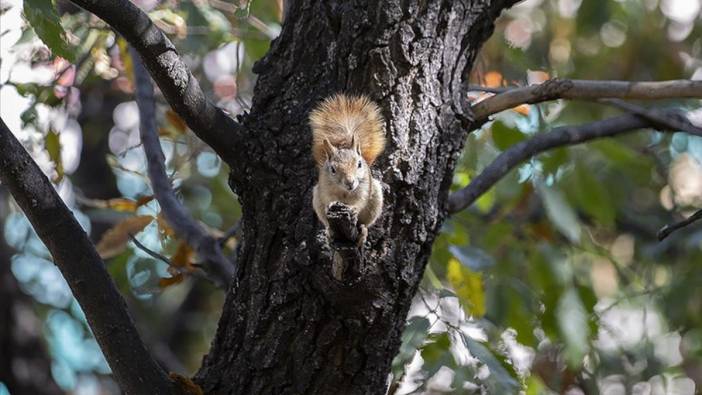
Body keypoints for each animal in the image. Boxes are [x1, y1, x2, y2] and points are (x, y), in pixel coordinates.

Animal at [310, 94, 388, 246]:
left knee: (363, 223)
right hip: (317, 199)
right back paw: (329, 232)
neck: (345, 191)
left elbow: (360, 200)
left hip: (375, 199)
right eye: (333, 169)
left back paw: (363, 231)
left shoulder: (364, 187)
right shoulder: (325, 186)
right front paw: (332, 203)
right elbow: (329, 197)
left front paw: (354, 209)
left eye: (359, 164)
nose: (350, 182)